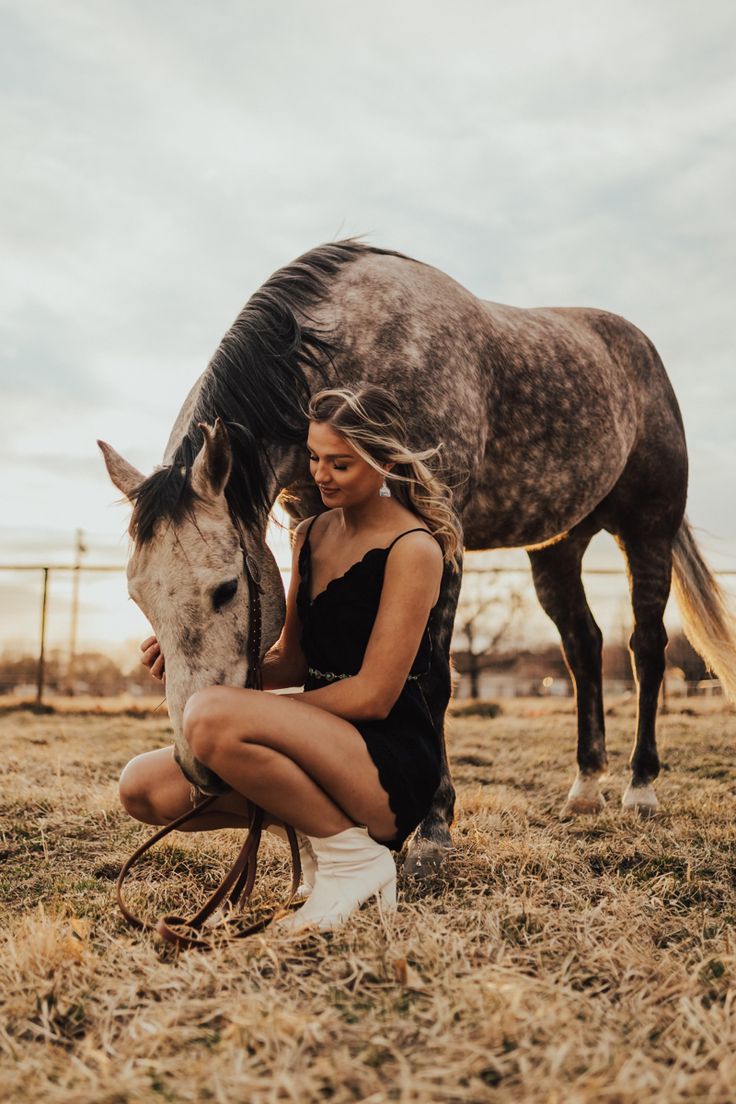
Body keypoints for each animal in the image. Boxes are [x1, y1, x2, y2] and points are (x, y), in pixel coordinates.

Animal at [99, 237, 736, 874]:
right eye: (138, 598)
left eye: (227, 588)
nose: (198, 770)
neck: (351, 349)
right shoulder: (309, 517)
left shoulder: (443, 529)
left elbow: (433, 683)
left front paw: (433, 830)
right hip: (558, 548)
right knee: (584, 646)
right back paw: (584, 789)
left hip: (647, 529)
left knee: (646, 649)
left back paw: (640, 788)